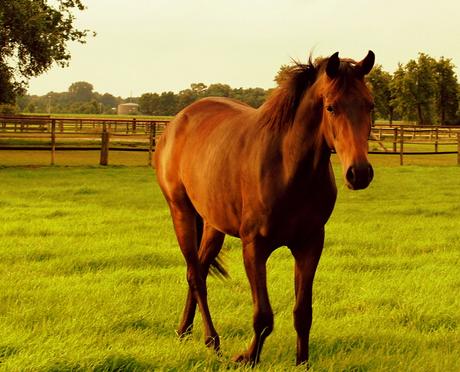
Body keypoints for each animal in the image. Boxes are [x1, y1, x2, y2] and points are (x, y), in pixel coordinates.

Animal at [155, 50, 374, 366]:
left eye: (370, 105)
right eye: (331, 107)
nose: (360, 173)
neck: (287, 168)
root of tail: (177, 122)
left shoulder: (310, 245)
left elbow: (302, 312)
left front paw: (302, 362)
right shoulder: (254, 247)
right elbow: (263, 316)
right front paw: (248, 357)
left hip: (213, 225)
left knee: (198, 270)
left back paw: (185, 331)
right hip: (180, 211)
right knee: (196, 275)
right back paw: (212, 341)